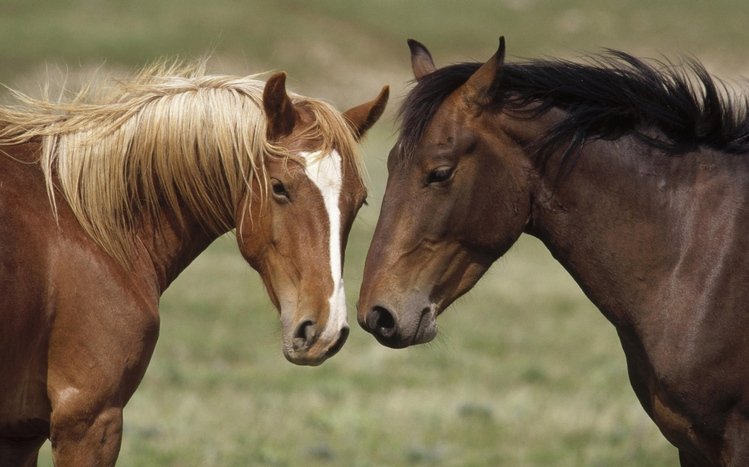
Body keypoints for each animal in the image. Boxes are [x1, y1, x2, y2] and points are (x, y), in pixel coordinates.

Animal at [0, 62, 388, 466]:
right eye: (280, 187)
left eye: (359, 200)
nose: (325, 330)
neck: (84, 222)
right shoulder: (88, 420)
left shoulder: (20, 437)